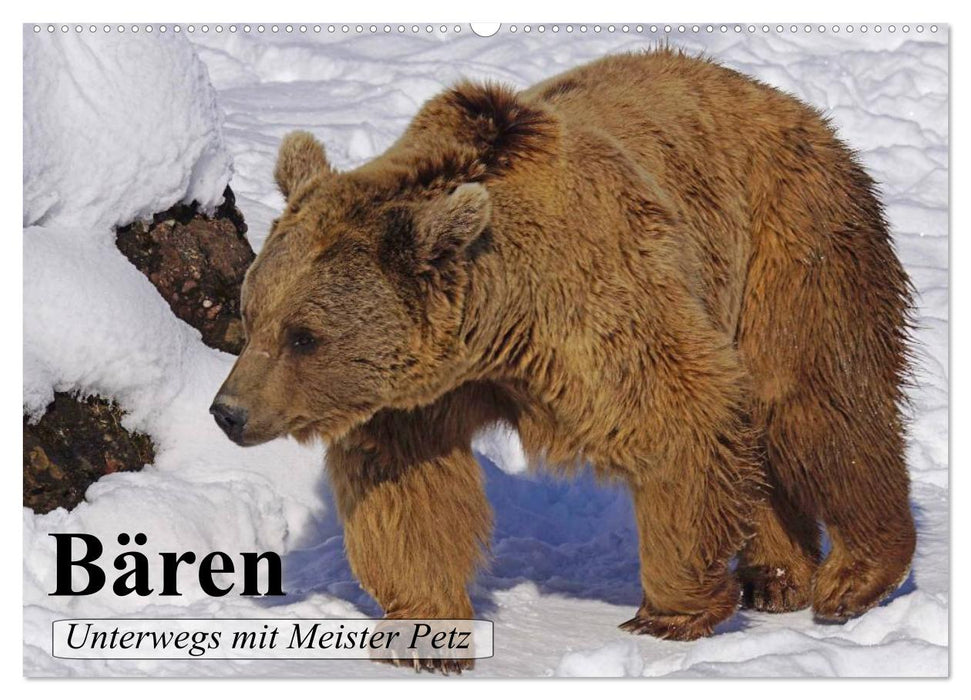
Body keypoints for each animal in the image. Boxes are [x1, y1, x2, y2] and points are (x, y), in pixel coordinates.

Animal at [211, 49, 916, 672]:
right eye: (253, 313)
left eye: (304, 335)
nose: (229, 411)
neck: (494, 323)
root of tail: (786, 104)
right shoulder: (419, 391)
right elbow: (408, 488)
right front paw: (425, 636)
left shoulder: (594, 306)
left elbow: (681, 415)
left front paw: (669, 612)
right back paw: (776, 576)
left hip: (787, 243)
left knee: (815, 404)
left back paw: (855, 576)